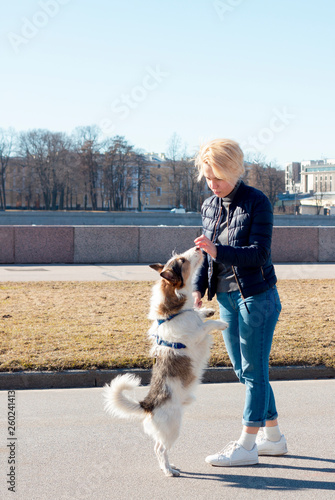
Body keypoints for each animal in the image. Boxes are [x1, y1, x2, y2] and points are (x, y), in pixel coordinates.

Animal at [103, 246, 228, 476]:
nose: (199, 247)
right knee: (159, 449)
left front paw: (206, 310)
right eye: (182, 260)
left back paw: (171, 466)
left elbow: (200, 315)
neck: (175, 311)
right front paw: (221, 322)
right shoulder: (196, 334)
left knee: (160, 448)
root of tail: (148, 405)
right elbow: (207, 325)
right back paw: (169, 471)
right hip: (173, 427)